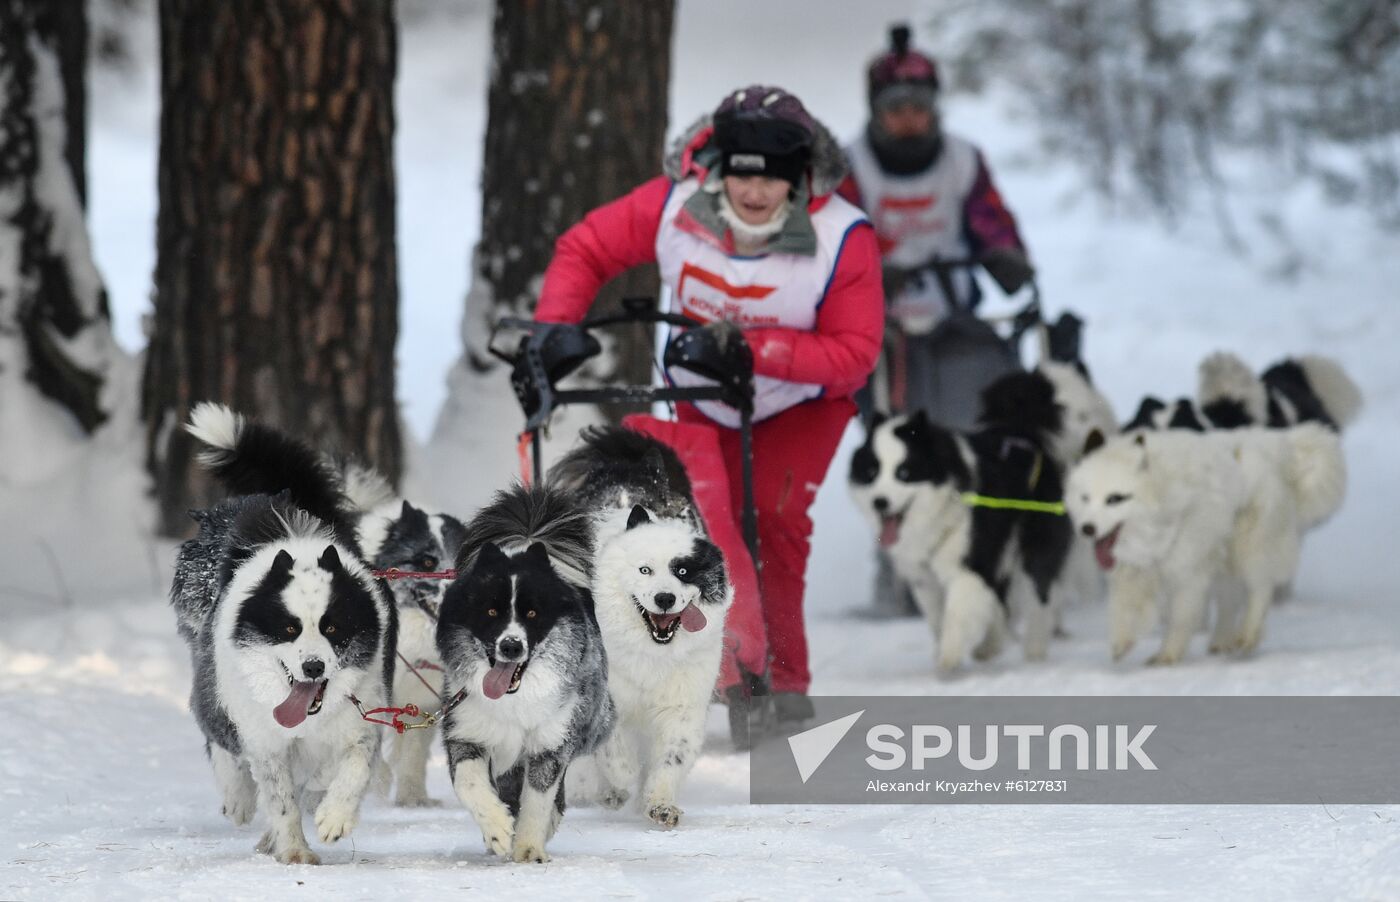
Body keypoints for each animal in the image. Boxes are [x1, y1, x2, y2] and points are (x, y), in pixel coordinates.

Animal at [175, 403, 397, 868]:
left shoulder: (363, 717)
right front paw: (294, 849)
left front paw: (333, 818)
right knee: (219, 738)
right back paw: (239, 800)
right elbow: (280, 797)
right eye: (290, 628)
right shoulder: (264, 737)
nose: (312, 667)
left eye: (332, 628)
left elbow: (347, 768)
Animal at [436, 481, 613, 862]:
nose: (511, 647)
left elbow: (539, 799)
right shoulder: (465, 730)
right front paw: (498, 829)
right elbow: (469, 782)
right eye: (491, 611)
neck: (513, 699)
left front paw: (529, 847)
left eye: (532, 614)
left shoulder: (551, 740)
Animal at [548, 425, 733, 829]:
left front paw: (660, 803)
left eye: (683, 571)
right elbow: (611, 748)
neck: (651, 652)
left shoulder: (683, 700)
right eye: (644, 570)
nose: (665, 598)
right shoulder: (604, 693)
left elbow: (671, 756)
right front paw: (620, 782)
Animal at [840, 369, 1080, 672]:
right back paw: (991, 646)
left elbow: (957, 610)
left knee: (1039, 590)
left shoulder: (971, 561)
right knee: (1000, 598)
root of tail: (1022, 430)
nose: (879, 502)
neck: (941, 505)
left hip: (1034, 540)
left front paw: (948, 657)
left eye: (904, 473)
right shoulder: (924, 576)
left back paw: (1034, 650)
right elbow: (937, 616)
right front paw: (952, 648)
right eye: (872, 472)